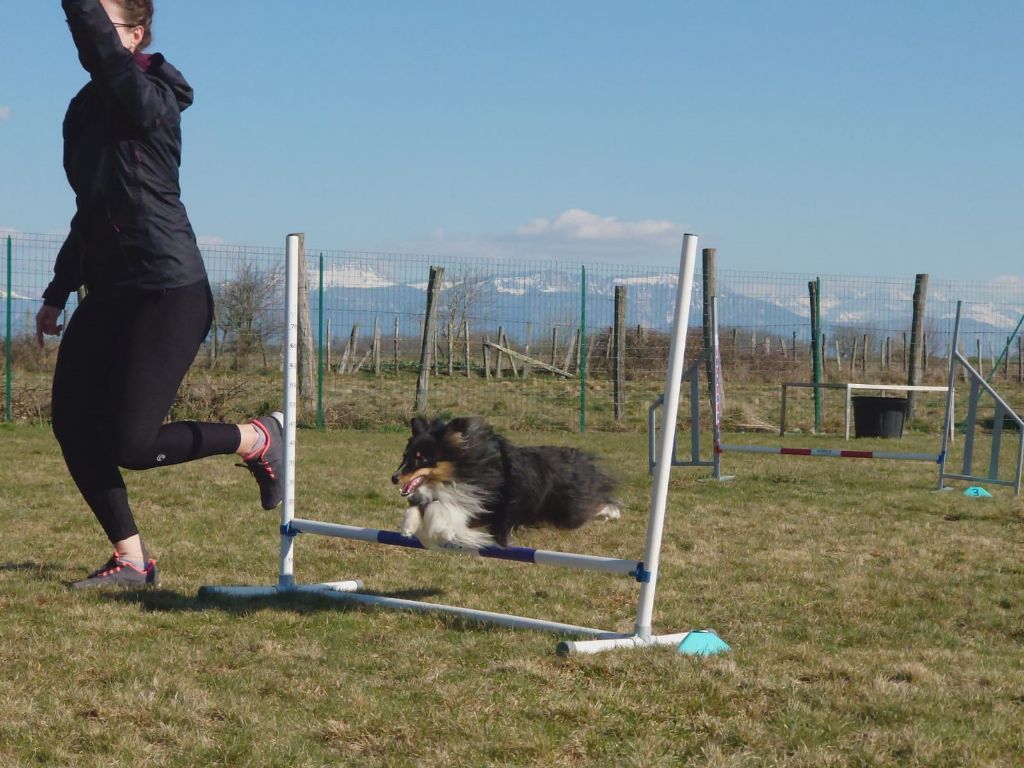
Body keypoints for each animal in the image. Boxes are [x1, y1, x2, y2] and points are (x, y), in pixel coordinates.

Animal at [389, 417, 614, 548]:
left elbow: (439, 508)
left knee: (592, 506)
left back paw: (611, 513)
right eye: (405, 456)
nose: (394, 478)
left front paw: (442, 530)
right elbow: (419, 507)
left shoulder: (479, 506)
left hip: (566, 513)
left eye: (421, 459)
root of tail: (577, 458)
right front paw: (408, 527)